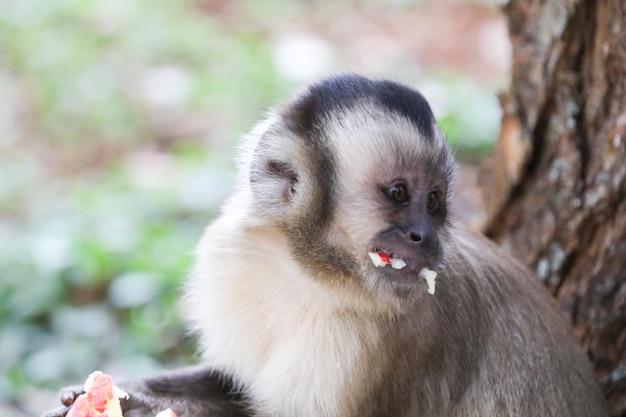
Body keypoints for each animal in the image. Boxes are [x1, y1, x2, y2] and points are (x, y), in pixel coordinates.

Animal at [46, 73, 608, 414]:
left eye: (435, 201)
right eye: (399, 194)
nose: (424, 235)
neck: (312, 272)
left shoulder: (380, 341)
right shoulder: (234, 259)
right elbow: (233, 382)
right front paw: (127, 394)